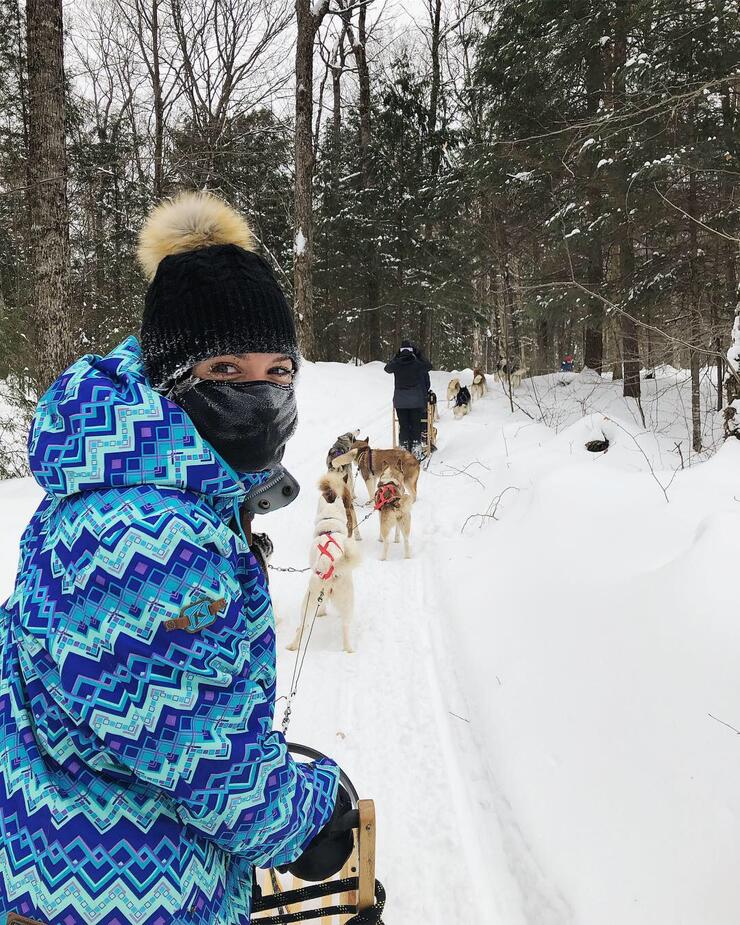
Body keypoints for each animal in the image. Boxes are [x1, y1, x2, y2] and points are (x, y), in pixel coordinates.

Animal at [288, 472, 360, 652]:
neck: (330, 528)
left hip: (309, 600)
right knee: (345, 626)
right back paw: (348, 649)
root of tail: (330, 566)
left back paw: (293, 646)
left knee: (302, 626)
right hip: (346, 600)